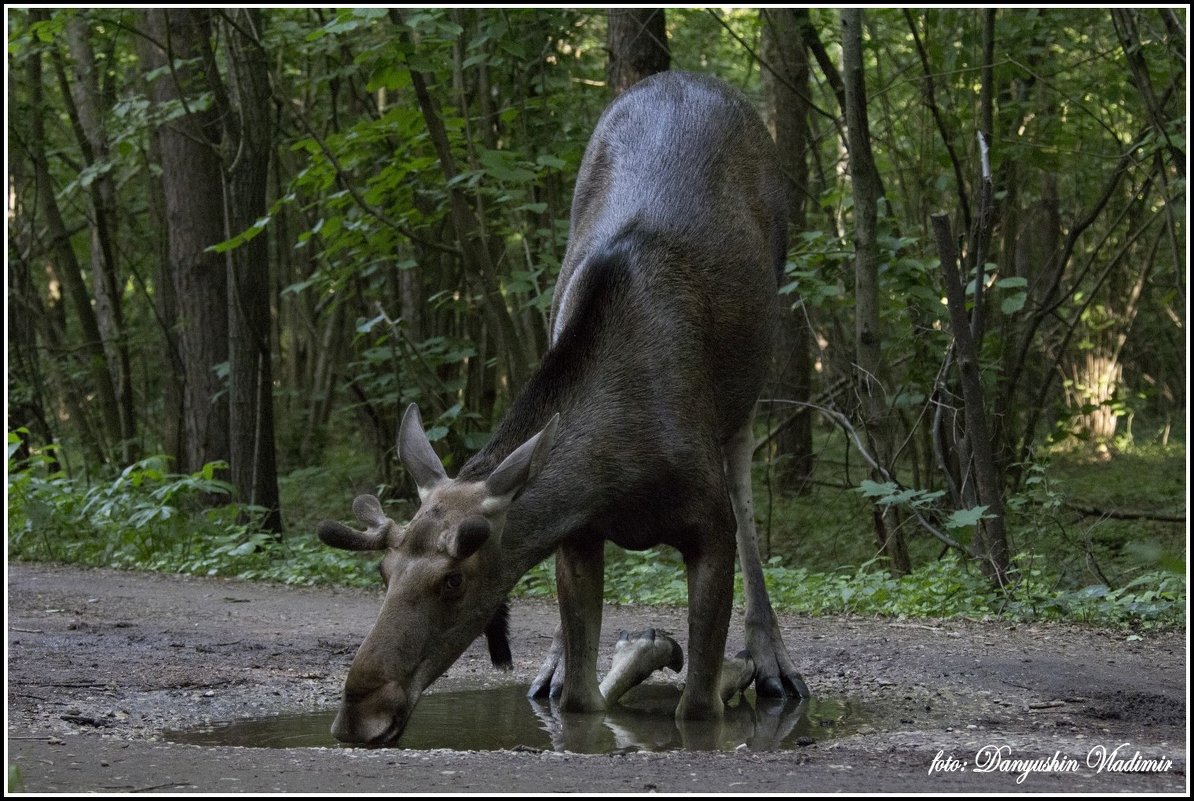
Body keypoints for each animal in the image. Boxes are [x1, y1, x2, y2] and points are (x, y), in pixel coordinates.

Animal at [315, 72, 811, 749]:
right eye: (384, 575)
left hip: (748, 394)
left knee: (747, 494)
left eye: (453, 580)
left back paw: (768, 659)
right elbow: (581, 697)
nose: (359, 712)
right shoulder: (578, 535)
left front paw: (723, 669)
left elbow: (697, 705)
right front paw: (636, 651)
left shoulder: (710, 529)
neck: (619, 472)